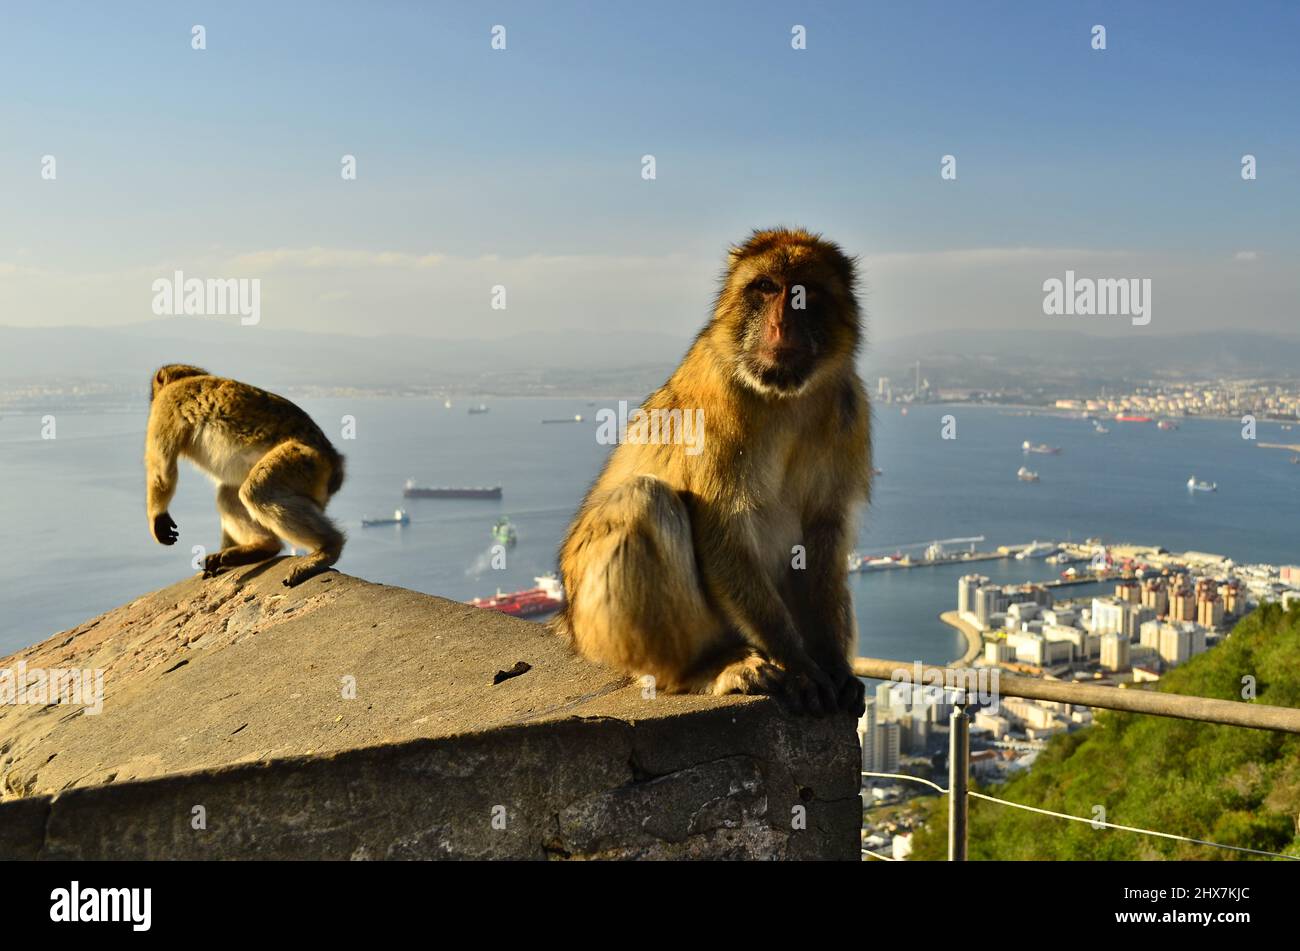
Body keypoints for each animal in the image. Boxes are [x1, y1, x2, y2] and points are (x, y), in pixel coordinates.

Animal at [145, 363, 348, 587]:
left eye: (154, 394)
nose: (151, 398)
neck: (185, 379)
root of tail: (335, 463)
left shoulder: (166, 406)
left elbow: (161, 472)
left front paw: (157, 518)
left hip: (304, 461)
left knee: (256, 492)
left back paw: (328, 548)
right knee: (229, 493)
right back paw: (263, 546)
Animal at [556, 229, 873, 717]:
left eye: (804, 293)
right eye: (766, 288)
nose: (781, 325)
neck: (783, 396)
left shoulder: (850, 407)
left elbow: (824, 529)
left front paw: (832, 663)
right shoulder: (716, 401)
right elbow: (721, 527)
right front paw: (800, 665)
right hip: (601, 631)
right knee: (643, 499)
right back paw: (702, 669)